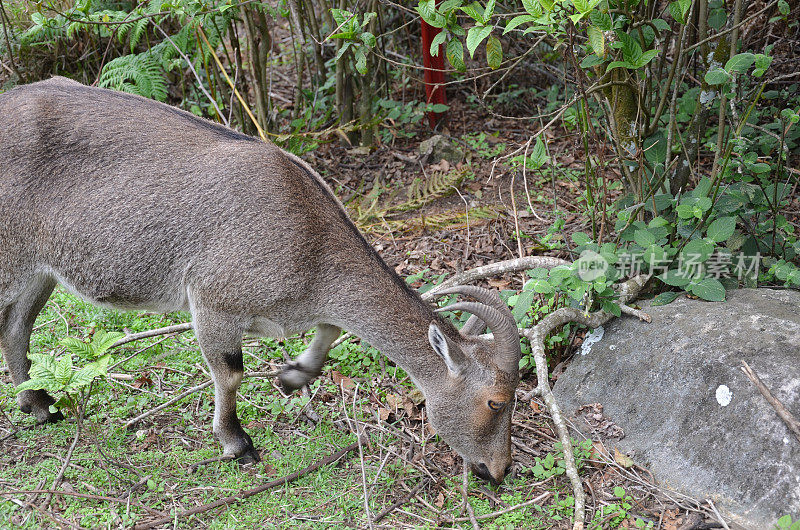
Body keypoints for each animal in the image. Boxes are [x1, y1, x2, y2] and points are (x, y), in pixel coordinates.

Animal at [0, 77, 520, 482]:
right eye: (496, 402)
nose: (498, 471)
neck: (309, 239)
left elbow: (329, 329)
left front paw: (293, 375)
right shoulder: (212, 300)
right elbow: (230, 373)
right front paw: (237, 443)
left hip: (39, 271)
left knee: (16, 327)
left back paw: (38, 404)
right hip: (12, 256)